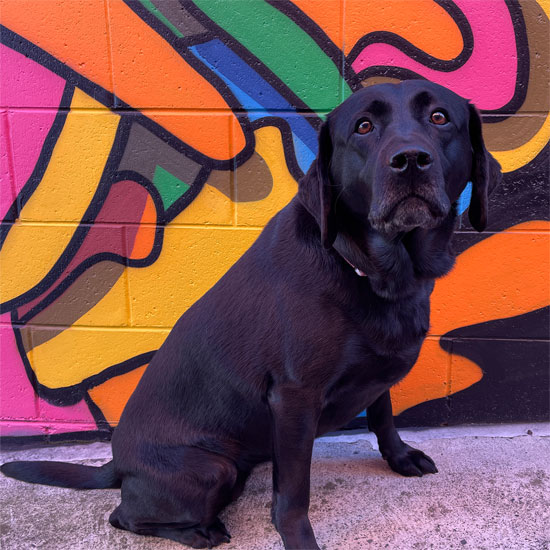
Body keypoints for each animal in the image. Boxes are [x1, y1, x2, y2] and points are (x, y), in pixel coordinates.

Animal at [1, 81, 500, 550]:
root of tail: (116, 463)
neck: (372, 271)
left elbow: (384, 413)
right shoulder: (294, 399)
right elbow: (294, 492)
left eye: (440, 117)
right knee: (122, 516)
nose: (410, 160)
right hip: (210, 468)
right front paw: (299, 540)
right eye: (363, 127)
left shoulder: (375, 373)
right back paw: (201, 531)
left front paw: (399, 457)